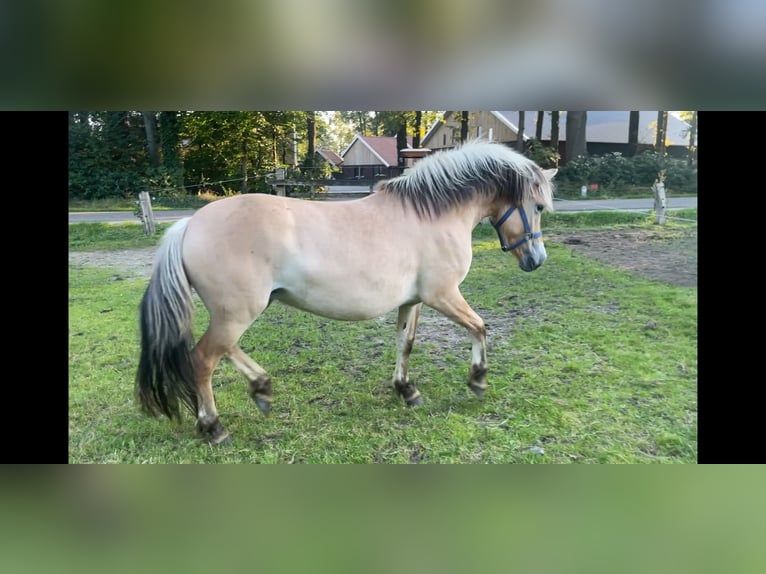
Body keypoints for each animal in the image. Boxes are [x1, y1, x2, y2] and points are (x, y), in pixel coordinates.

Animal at [136, 141, 560, 446]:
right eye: (538, 206)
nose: (537, 260)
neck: (431, 215)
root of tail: (189, 225)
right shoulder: (443, 295)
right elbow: (480, 328)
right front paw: (477, 381)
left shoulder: (413, 301)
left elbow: (405, 344)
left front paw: (406, 390)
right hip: (237, 312)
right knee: (204, 360)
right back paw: (214, 427)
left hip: (238, 312)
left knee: (223, 351)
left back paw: (261, 388)